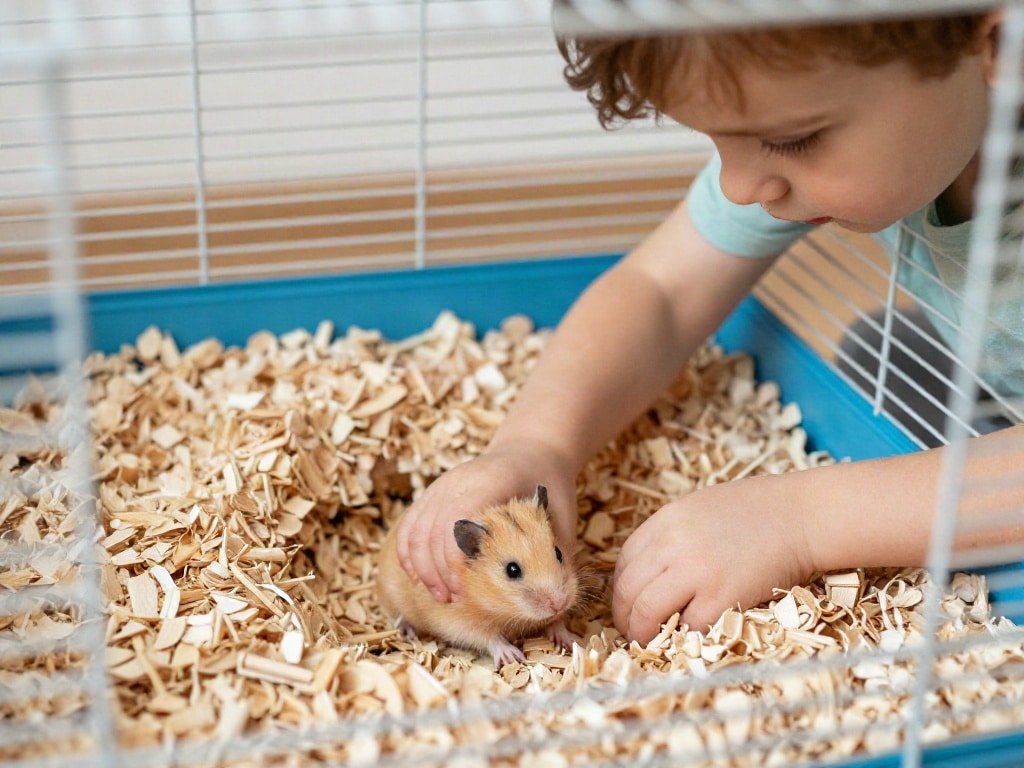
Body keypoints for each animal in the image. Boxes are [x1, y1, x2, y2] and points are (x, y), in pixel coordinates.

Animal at [376, 484, 584, 668]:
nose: (560, 604)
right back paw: (407, 631)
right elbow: (490, 638)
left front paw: (570, 641)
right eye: (512, 570)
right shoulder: (459, 624)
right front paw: (513, 657)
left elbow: (557, 622)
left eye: (558, 553)